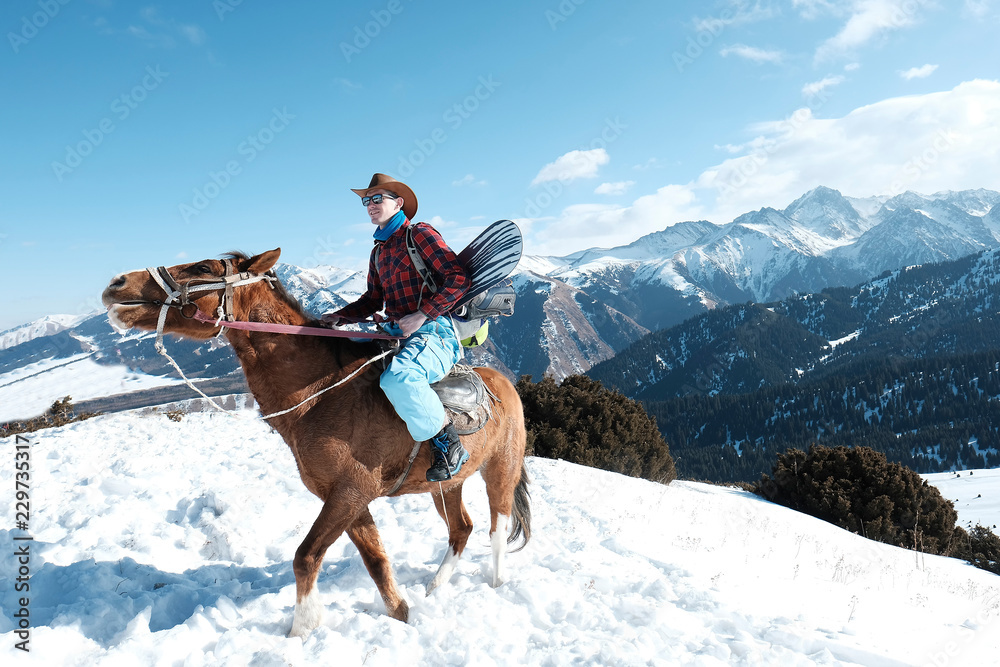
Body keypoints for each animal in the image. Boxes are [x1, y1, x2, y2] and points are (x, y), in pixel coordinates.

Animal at [101, 249, 532, 636]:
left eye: (203, 267)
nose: (116, 283)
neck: (321, 393)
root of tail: (503, 382)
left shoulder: (351, 492)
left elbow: (306, 557)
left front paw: (301, 629)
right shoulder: (347, 498)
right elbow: (376, 560)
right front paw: (400, 613)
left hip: (501, 470)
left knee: (497, 526)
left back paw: (495, 582)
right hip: (445, 485)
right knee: (461, 528)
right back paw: (435, 586)